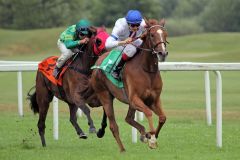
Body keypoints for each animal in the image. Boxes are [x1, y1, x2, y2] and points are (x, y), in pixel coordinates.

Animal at [91, 18, 168, 151]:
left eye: (164, 34)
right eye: (152, 35)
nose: (162, 53)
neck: (147, 70)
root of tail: (99, 61)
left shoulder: (153, 99)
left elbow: (163, 117)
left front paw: (153, 136)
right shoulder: (134, 98)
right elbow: (148, 112)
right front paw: (152, 138)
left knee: (128, 118)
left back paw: (143, 134)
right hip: (105, 96)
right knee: (113, 125)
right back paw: (122, 150)